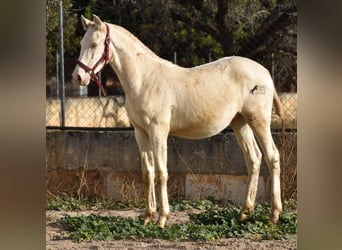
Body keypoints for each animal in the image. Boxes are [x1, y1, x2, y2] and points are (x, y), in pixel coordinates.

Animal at [71, 14, 284, 228]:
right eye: (81, 44)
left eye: (94, 44)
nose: (78, 77)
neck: (144, 80)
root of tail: (265, 72)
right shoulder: (141, 132)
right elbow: (147, 172)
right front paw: (148, 216)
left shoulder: (158, 131)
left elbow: (161, 172)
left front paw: (162, 218)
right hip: (240, 123)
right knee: (254, 159)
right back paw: (244, 213)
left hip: (259, 121)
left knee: (272, 156)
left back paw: (274, 214)